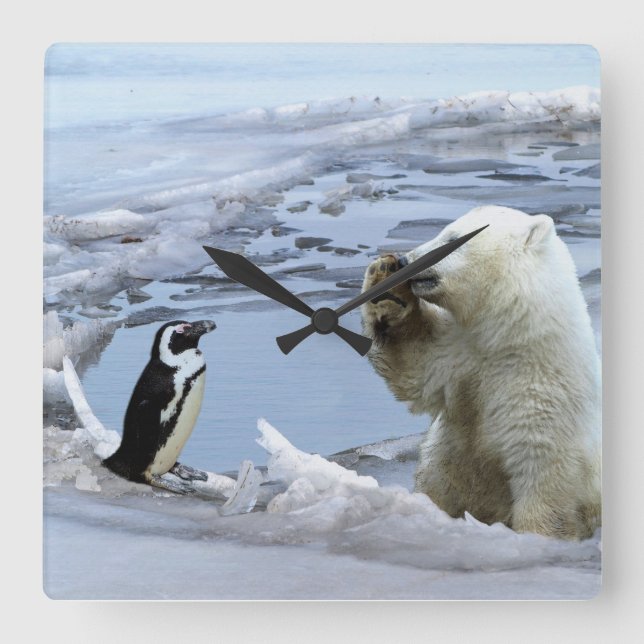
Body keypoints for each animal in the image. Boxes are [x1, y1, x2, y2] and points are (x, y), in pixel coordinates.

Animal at [361, 205, 601, 540]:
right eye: (444, 230)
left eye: (453, 238)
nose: (407, 260)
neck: (509, 335)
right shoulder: (458, 353)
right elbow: (414, 360)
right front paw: (387, 281)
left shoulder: (545, 393)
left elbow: (544, 479)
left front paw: (536, 536)